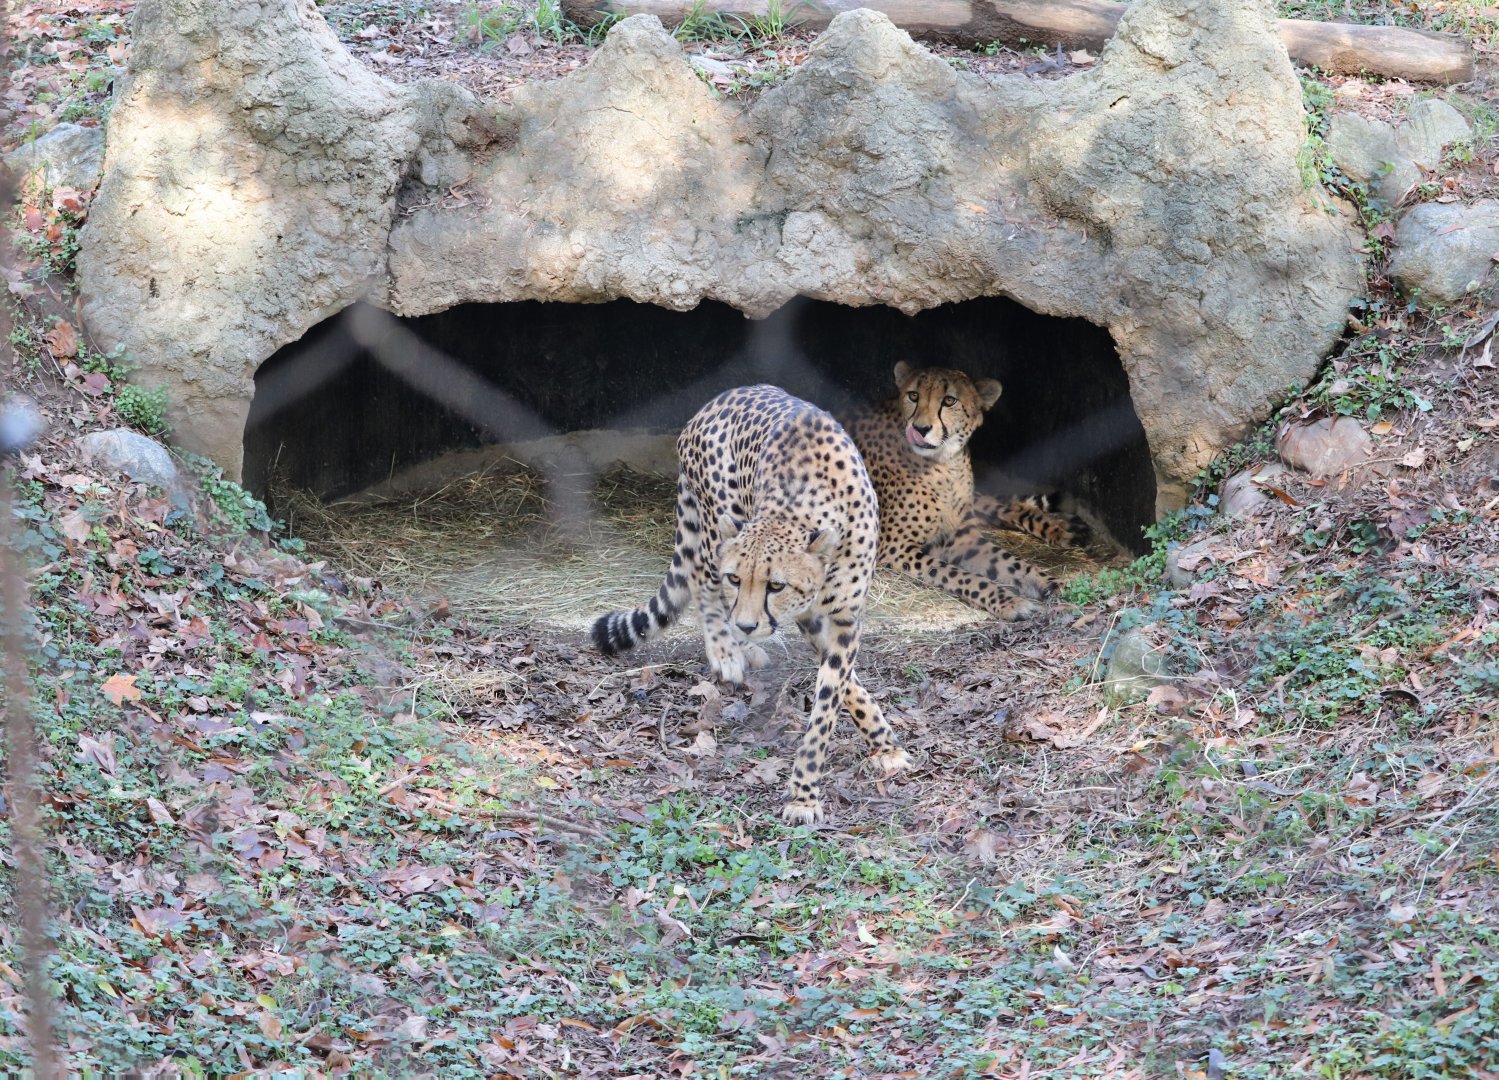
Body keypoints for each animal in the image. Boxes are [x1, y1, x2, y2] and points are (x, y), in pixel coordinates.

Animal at [592, 385, 910, 825]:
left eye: (776, 585)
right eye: (736, 579)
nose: (746, 625)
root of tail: (717, 400)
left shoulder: (844, 617)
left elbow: (836, 693)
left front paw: (882, 742)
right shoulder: (809, 617)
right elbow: (835, 694)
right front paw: (804, 796)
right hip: (716, 522)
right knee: (701, 581)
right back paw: (728, 652)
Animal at [844, 361, 1086, 621]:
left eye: (949, 401)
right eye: (913, 395)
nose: (920, 428)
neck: (944, 463)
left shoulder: (963, 536)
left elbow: (1012, 563)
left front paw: (1053, 583)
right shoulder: (894, 547)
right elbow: (961, 575)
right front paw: (1009, 601)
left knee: (1001, 506)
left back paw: (1061, 527)